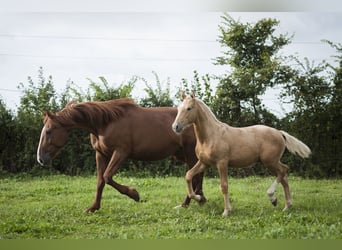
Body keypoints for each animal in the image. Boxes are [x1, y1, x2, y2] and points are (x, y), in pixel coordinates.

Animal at [36, 98, 204, 212]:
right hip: (182, 154)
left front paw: (134, 194)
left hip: (189, 153)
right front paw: (93, 207)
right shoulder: (101, 154)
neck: (105, 123)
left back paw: (192, 201)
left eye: (49, 131)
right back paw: (196, 200)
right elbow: (100, 181)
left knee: (194, 176)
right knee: (196, 175)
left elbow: (107, 177)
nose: (40, 159)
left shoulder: (120, 153)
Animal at [172, 93, 312, 216]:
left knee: (284, 170)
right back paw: (286, 206)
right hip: (271, 162)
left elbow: (224, 186)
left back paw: (272, 197)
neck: (211, 136)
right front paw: (199, 198)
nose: (175, 127)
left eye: (189, 108)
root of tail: (279, 133)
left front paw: (226, 211)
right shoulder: (204, 163)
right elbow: (188, 176)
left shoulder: (222, 163)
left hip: (270, 161)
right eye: (178, 108)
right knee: (283, 177)